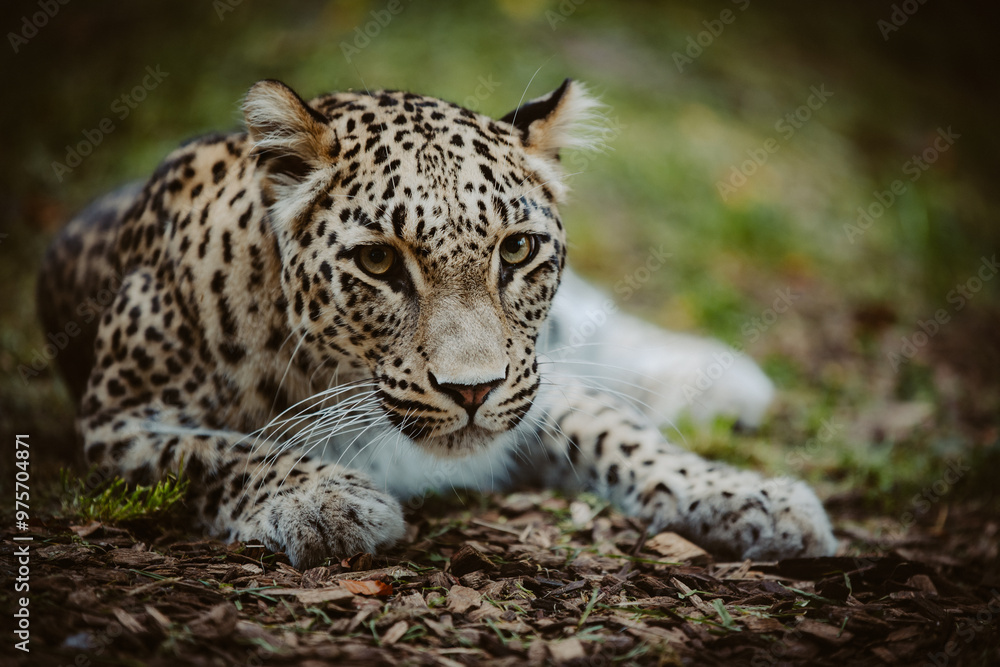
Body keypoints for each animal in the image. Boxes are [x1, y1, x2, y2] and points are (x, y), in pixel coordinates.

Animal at [37, 77, 837, 569]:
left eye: (516, 250)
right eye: (379, 261)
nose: (472, 391)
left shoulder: (536, 381)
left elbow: (622, 432)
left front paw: (754, 497)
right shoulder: (118, 419)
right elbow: (221, 452)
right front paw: (328, 500)